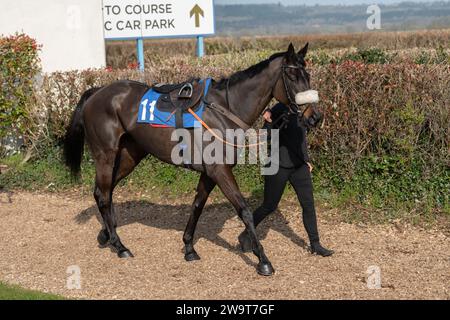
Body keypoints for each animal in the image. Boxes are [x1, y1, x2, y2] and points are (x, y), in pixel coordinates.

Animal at [64, 42, 320, 276]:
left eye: (308, 75)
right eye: (292, 75)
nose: (315, 116)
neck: (225, 109)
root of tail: (96, 92)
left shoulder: (210, 172)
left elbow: (197, 206)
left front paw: (189, 247)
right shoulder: (219, 170)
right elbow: (244, 210)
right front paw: (263, 260)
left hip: (130, 154)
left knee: (104, 191)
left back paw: (106, 234)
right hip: (105, 154)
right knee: (103, 194)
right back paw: (120, 245)